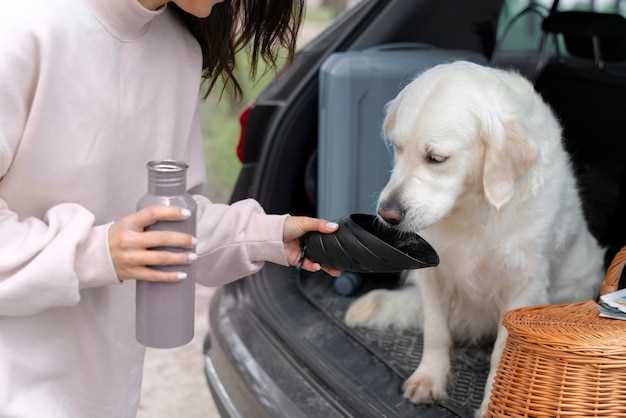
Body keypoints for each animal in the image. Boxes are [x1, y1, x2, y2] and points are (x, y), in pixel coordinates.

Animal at [344, 60, 604, 416]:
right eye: (398, 147)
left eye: (436, 158)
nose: (387, 214)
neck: (473, 206)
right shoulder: (433, 274)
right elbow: (435, 332)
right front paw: (429, 379)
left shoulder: (523, 286)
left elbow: (504, 354)